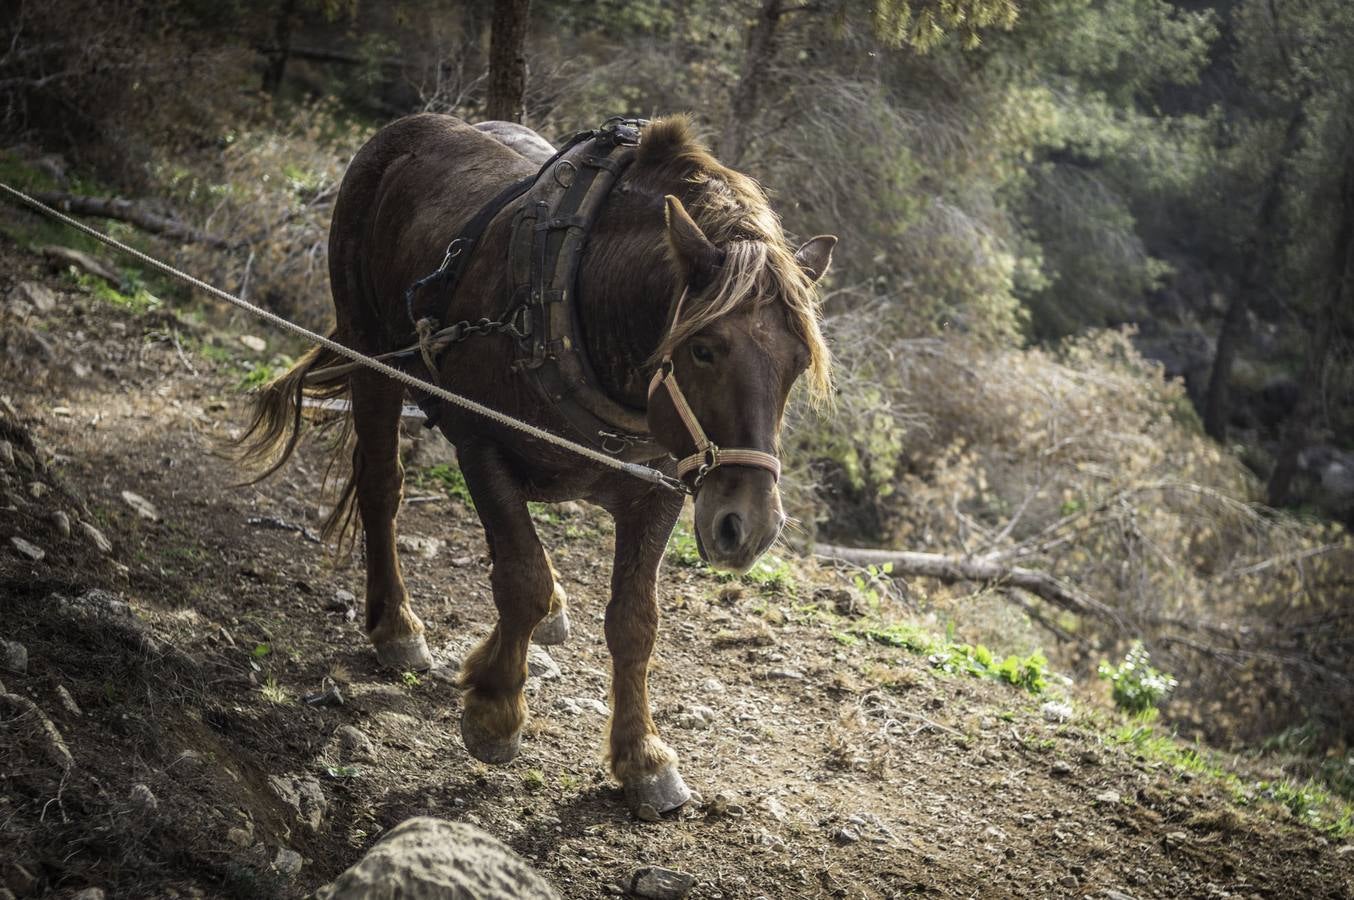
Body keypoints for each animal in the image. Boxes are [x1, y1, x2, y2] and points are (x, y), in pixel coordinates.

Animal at [239, 114, 834, 812]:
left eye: (796, 362)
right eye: (705, 349)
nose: (750, 525)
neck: (586, 305)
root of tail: (408, 129)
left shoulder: (659, 488)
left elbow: (634, 620)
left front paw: (641, 756)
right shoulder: (482, 445)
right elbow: (520, 579)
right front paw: (496, 708)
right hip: (370, 356)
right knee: (382, 487)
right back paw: (396, 626)